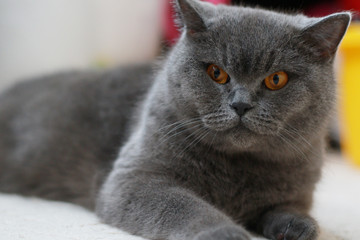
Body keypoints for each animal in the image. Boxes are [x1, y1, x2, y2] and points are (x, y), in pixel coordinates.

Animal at [0, 0, 350, 240]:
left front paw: (297, 226)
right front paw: (226, 232)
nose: (240, 104)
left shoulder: (298, 190)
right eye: (216, 73)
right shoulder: (135, 178)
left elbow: (288, 208)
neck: (237, 169)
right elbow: (185, 206)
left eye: (276, 79)